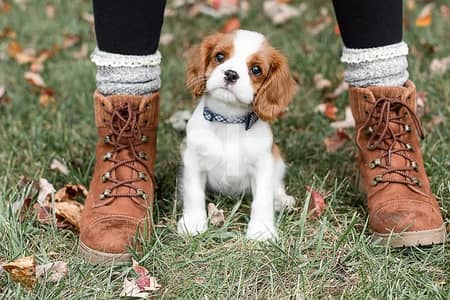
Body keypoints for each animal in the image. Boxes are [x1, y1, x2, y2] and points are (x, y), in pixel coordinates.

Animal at [178, 29, 298, 240]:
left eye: (256, 70)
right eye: (219, 57)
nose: (231, 74)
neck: (229, 121)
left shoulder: (263, 165)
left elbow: (262, 199)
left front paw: (261, 231)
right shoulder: (193, 160)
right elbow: (194, 193)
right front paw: (192, 223)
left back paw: (282, 200)